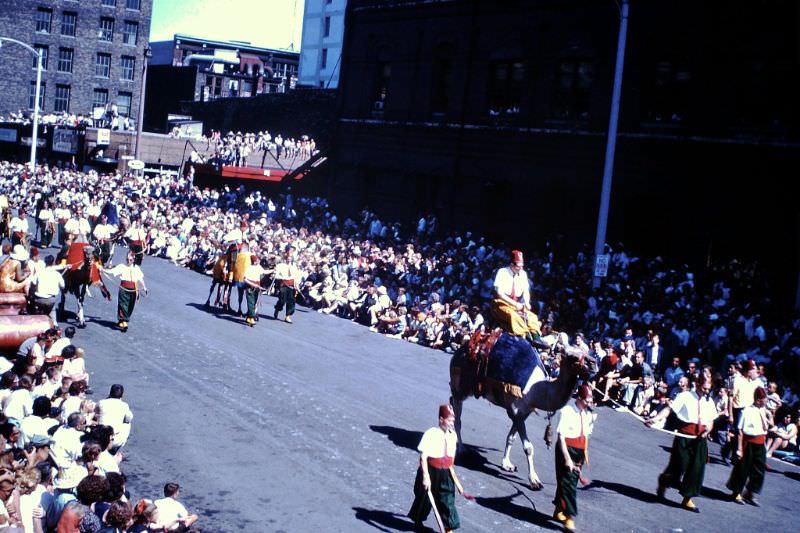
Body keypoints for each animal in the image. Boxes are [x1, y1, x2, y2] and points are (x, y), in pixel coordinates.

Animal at [450, 332, 588, 490]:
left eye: (586, 352)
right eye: (572, 356)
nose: (594, 365)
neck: (536, 390)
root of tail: (462, 348)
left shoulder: (522, 413)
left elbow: (511, 437)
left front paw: (507, 464)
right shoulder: (516, 411)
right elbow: (528, 447)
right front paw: (534, 480)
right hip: (460, 382)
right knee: (457, 414)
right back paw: (461, 450)